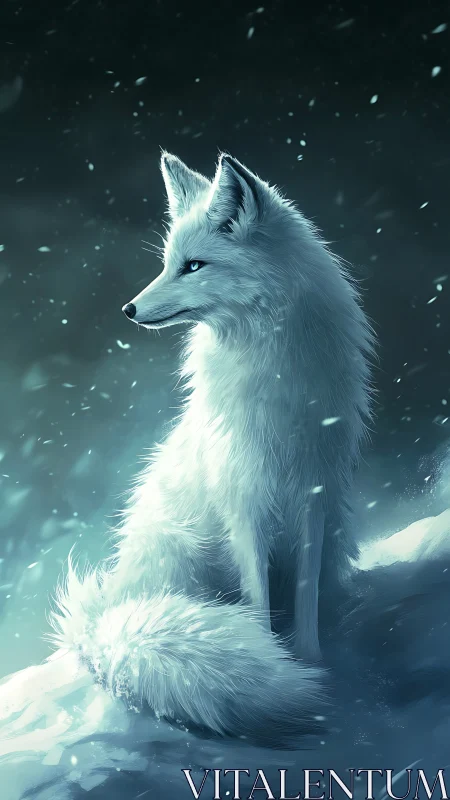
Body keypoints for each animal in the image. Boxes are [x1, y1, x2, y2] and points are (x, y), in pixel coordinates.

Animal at [50, 152, 374, 746]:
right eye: (168, 263)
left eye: (193, 266)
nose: (128, 309)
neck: (275, 373)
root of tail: (101, 620)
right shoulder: (244, 504)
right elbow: (258, 603)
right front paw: (279, 665)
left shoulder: (314, 498)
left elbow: (306, 598)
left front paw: (313, 663)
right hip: (183, 552)